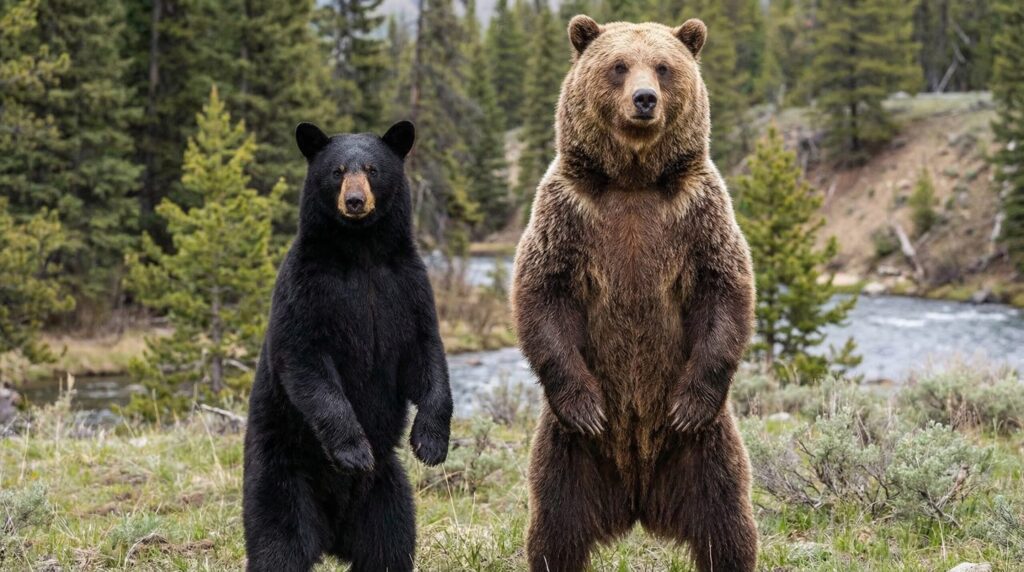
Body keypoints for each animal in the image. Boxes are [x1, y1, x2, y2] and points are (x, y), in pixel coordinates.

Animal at [242, 120, 453, 572]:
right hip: (280, 477)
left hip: (387, 492)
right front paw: (354, 451)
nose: (355, 201)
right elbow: (307, 364)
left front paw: (430, 443)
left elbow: (426, 356)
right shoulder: (306, 290)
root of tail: (333, 537)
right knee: (278, 543)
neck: (362, 253)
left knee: (390, 545)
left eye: (372, 169)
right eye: (337, 171)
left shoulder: (407, 288)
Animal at [510, 15, 758, 572]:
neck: (634, 178)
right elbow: (542, 292)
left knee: (727, 522)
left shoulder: (698, 211)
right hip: (567, 454)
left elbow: (724, 287)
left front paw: (688, 404)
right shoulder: (567, 211)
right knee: (555, 527)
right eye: (619, 65)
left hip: (707, 451)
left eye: (663, 67)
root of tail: (639, 498)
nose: (644, 99)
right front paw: (586, 405)